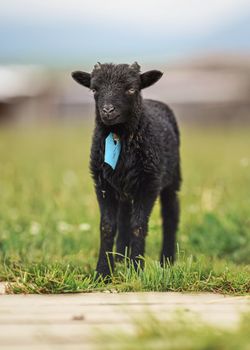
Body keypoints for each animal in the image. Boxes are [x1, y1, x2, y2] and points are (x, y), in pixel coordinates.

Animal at [71, 61, 181, 278]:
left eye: (131, 89)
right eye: (94, 89)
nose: (108, 111)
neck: (118, 135)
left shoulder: (149, 184)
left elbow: (138, 226)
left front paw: (137, 270)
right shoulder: (102, 185)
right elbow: (107, 227)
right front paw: (103, 272)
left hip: (171, 178)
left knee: (170, 215)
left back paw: (167, 260)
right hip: (123, 187)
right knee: (123, 218)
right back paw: (121, 258)